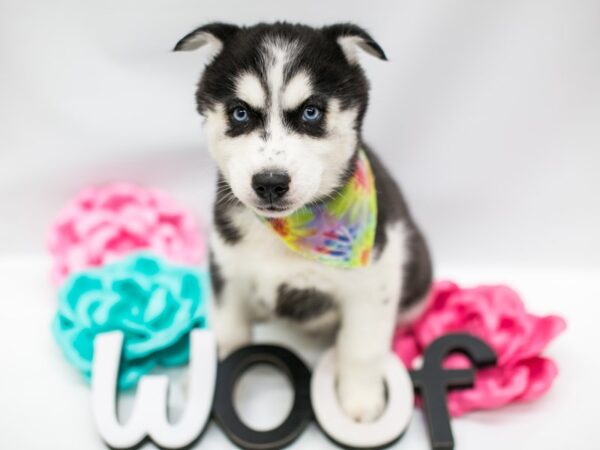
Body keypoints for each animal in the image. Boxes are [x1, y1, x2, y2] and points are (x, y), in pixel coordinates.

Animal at [173, 22, 432, 422]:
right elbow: (229, 331)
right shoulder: (227, 270)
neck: (288, 229)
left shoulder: (374, 283)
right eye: (239, 113)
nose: (270, 182)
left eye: (311, 112)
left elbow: (361, 348)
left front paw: (360, 401)